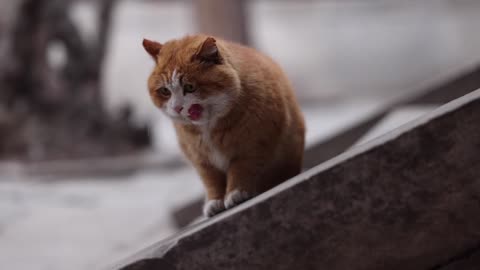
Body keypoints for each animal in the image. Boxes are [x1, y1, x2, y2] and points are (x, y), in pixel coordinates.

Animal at [142, 35, 304, 217]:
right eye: (165, 91)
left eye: (190, 87)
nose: (177, 108)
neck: (207, 127)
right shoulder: (202, 161)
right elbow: (212, 181)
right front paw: (215, 201)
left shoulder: (252, 145)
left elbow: (240, 169)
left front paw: (236, 192)